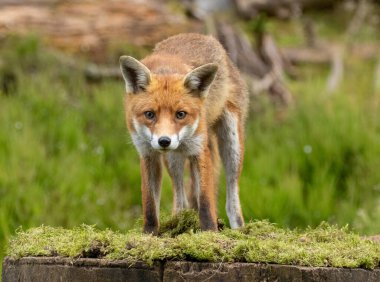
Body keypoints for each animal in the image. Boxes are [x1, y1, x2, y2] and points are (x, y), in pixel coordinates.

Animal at [119, 32, 249, 234]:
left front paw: (209, 231)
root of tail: (203, 36)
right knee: (181, 200)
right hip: (173, 159)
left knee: (231, 198)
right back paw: (178, 222)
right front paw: (149, 234)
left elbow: (205, 201)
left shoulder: (199, 150)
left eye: (180, 114)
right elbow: (149, 205)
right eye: (149, 114)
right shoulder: (147, 153)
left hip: (232, 144)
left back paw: (238, 229)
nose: (164, 141)